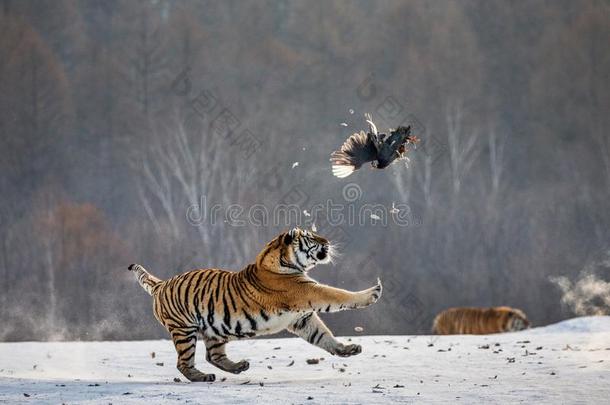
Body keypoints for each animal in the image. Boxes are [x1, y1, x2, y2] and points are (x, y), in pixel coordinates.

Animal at [128, 227, 380, 382]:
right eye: (312, 237)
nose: (327, 242)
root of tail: (161, 284)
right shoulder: (308, 292)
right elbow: (339, 295)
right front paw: (372, 293)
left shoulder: (302, 318)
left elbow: (323, 335)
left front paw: (347, 349)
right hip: (184, 330)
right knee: (183, 362)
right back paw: (202, 377)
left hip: (214, 330)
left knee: (214, 356)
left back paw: (239, 366)